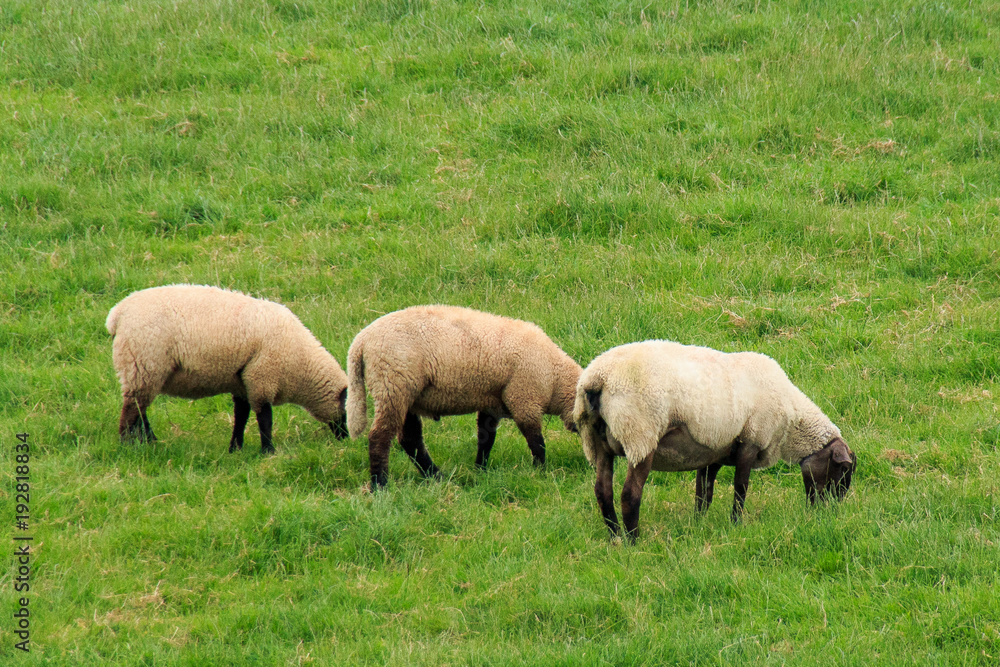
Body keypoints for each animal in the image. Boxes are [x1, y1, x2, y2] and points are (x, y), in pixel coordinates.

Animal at [107, 284, 350, 456]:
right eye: (348, 410)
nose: (347, 439)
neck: (301, 362)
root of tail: (118, 314)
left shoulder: (243, 382)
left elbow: (241, 415)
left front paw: (236, 448)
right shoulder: (262, 376)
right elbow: (264, 418)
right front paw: (268, 451)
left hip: (144, 370)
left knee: (140, 408)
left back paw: (150, 440)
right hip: (143, 363)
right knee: (132, 409)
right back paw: (128, 445)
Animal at [346, 306, 584, 488]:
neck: (555, 377)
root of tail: (361, 342)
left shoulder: (493, 404)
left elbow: (485, 439)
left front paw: (480, 469)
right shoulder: (525, 399)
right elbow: (536, 442)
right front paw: (540, 471)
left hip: (405, 395)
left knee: (410, 440)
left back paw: (436, 476)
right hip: (393, 386)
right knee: (380, 437)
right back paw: (380, 485)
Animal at [576, 342, 856, 540]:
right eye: (843, 470)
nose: (828, 512)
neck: (790, 423)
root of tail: (596, 380)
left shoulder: (713, 453)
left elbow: (704, 494)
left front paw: (699, 523)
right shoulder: (750, 441)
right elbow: (741, 488)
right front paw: (736, 523)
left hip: (597, 442)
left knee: (603, 490)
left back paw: (615, 536)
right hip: (640, 435)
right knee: (630, 493)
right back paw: (633, 539)